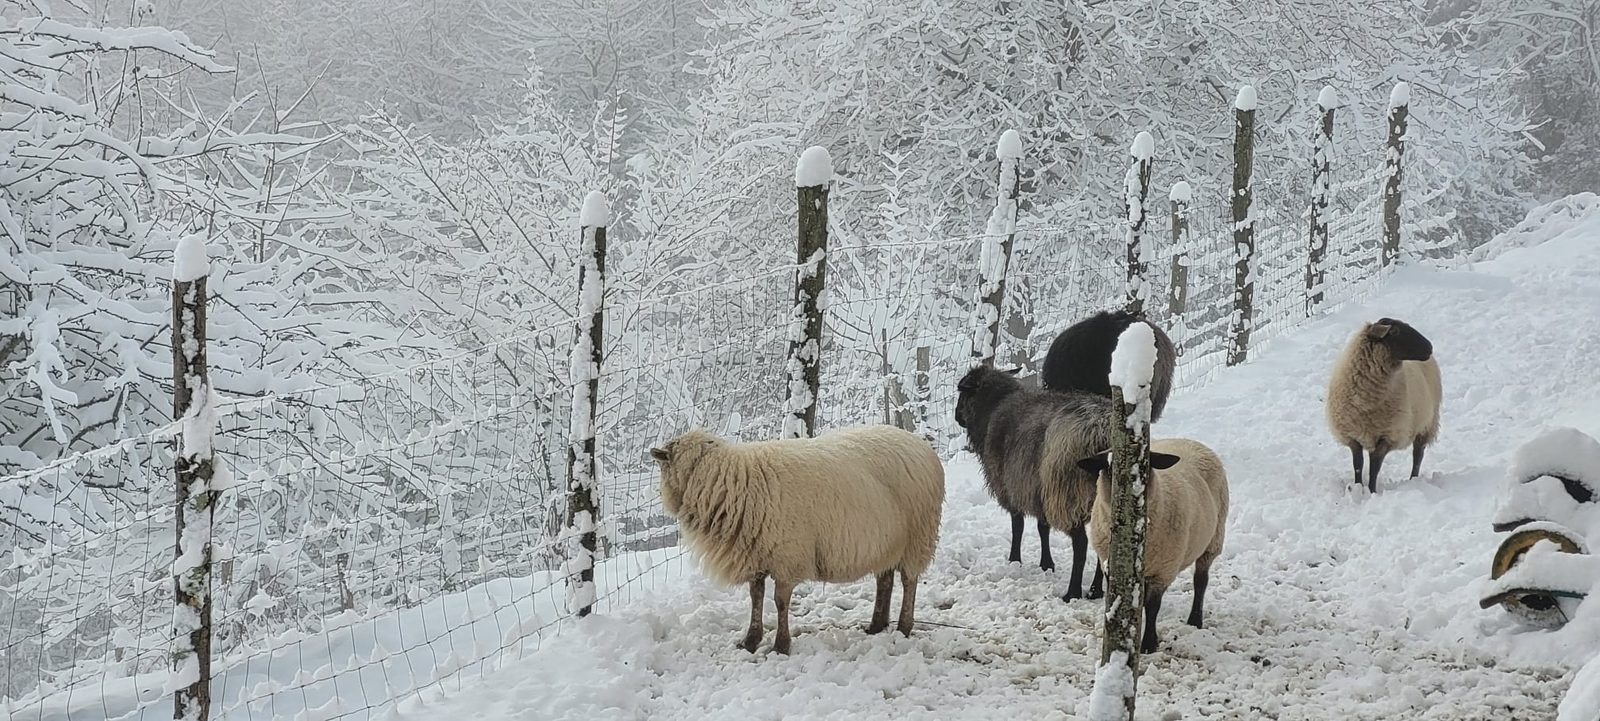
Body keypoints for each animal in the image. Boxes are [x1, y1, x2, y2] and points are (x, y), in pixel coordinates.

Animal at [650, 425, 945, 655]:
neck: (729, 481)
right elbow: (756, 597)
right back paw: (876, 625)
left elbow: (780, 602)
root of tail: (921, 444)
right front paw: (750, 640)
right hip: (886, 542)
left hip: (918, 537)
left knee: (909, 581)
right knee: (885, 581)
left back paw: (903, 627)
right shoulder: (756, 553)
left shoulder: (787, 556)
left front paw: (781, 645)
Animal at [955, 364, 1110, 601]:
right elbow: (1042, 528)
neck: (993, 407)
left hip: (1067, 494)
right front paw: (1047, 564)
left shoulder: (1012, 486)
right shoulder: (1036, 488)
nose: (957, 417)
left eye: (963, 393)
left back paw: (1072, 592)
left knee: (1081, 545)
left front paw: (1014, 559)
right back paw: (1095, 590)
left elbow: (1017, 526)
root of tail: (1101, 432)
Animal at [1076, 437, 1229, 653]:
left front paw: (1149, 643)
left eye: (1145, 467)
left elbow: (1153, 607)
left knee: (1201, 582)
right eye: (1108, 467)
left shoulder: (1162, 571)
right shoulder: (1111, 565)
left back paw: (1195, 620)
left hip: (1213, 541)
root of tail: (1189, 440)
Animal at [1325, 317, 1443, 493]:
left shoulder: (1388, 435)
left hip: (1427, 424)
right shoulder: (1352, 436)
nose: (1430, 347)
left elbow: (1375, 466)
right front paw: (1358, 487)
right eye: (1394, 331)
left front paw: (1372, 490)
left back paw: (1413, 479)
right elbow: (1358, 464)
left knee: (1418, 455)